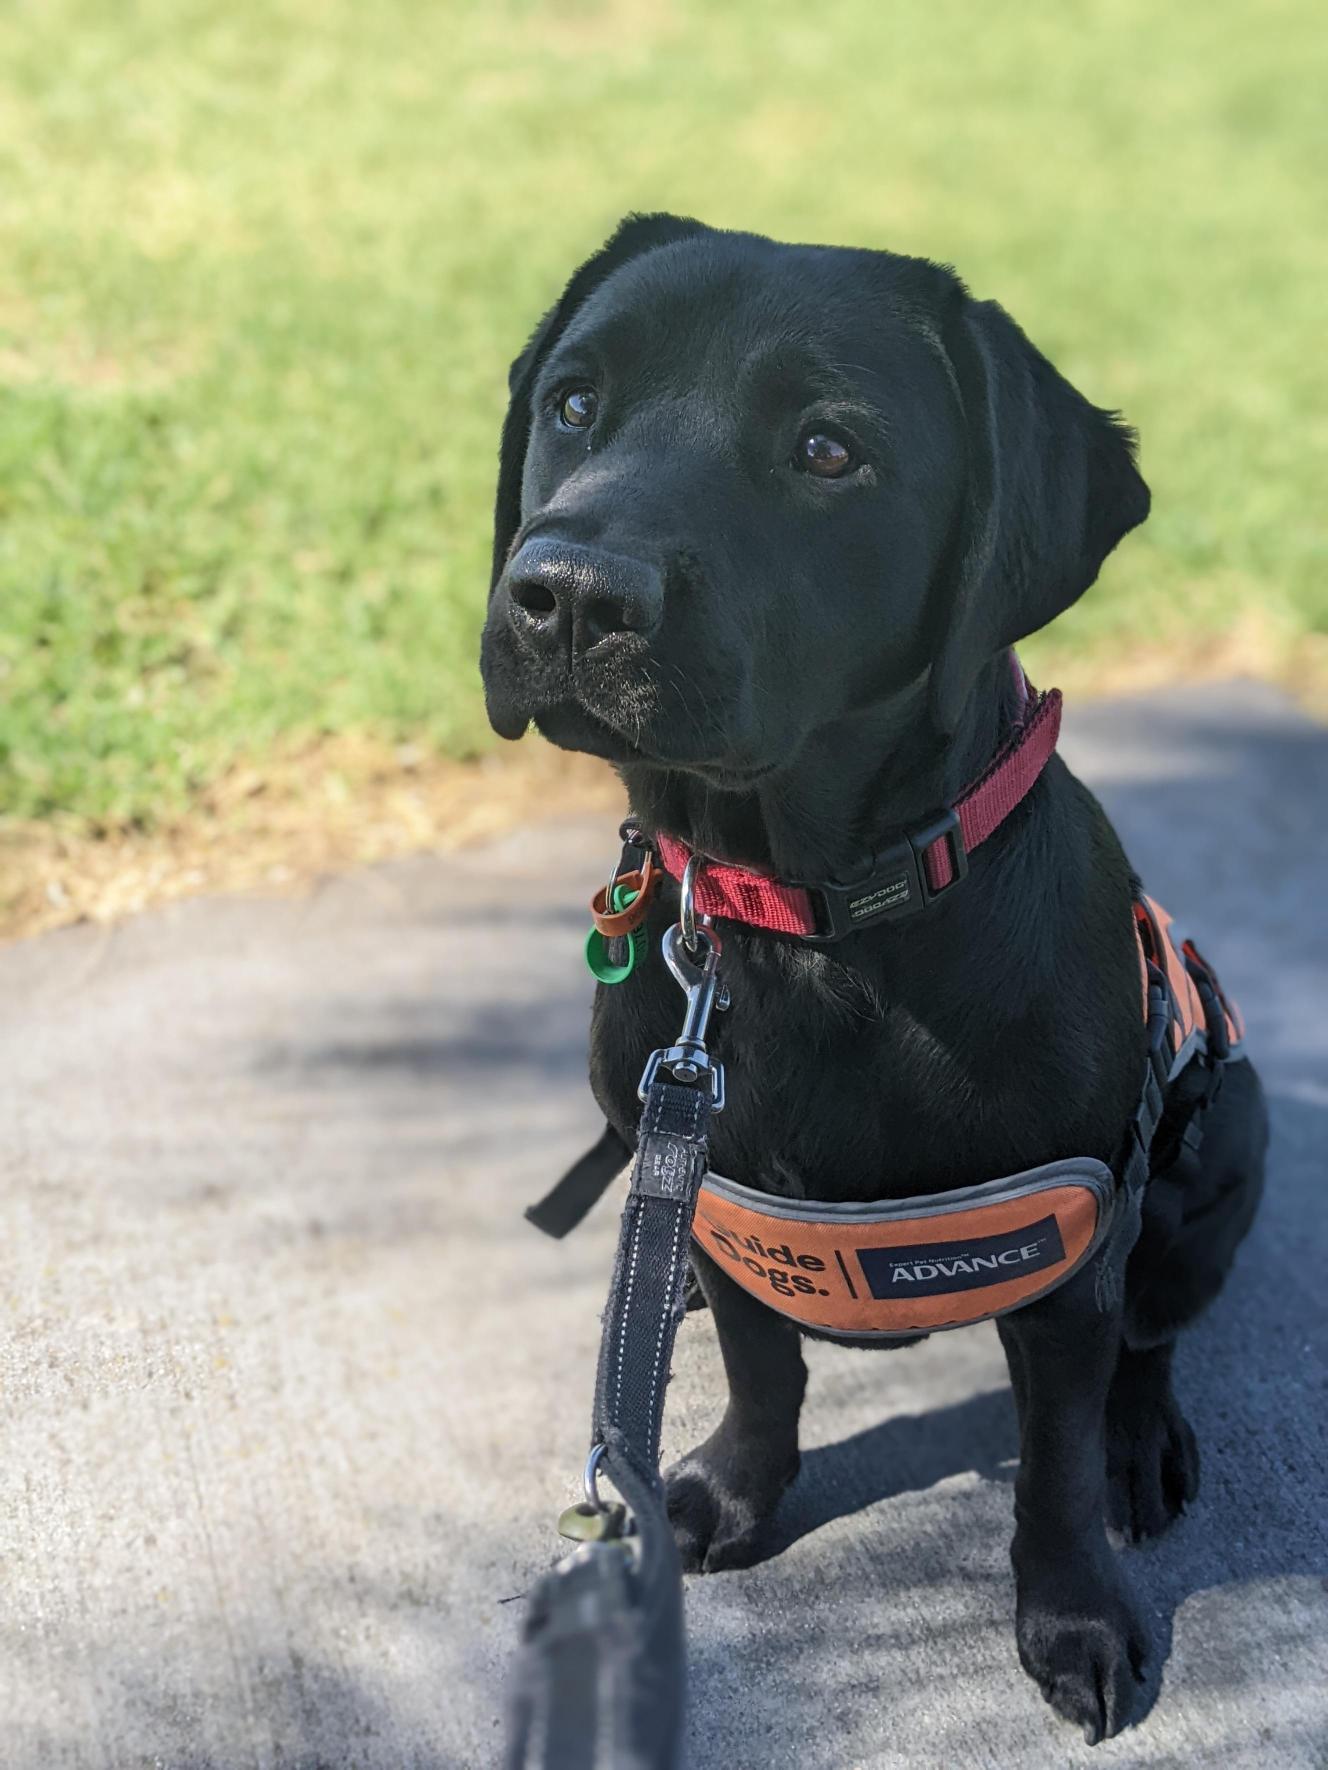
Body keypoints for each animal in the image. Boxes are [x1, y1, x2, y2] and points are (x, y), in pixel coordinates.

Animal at [478, 217, 1267, 1741]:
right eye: (575, 401)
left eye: (829, 450)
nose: (567, 594)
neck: (800, 920)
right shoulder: (714, 1195)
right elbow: (759, 1364)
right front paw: (729, 1490)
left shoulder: (1065, 1250)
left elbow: (1054, 1464)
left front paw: (1074, 1619)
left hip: (1224, 1138)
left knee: (1153, 1331)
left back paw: (1144, 1441)